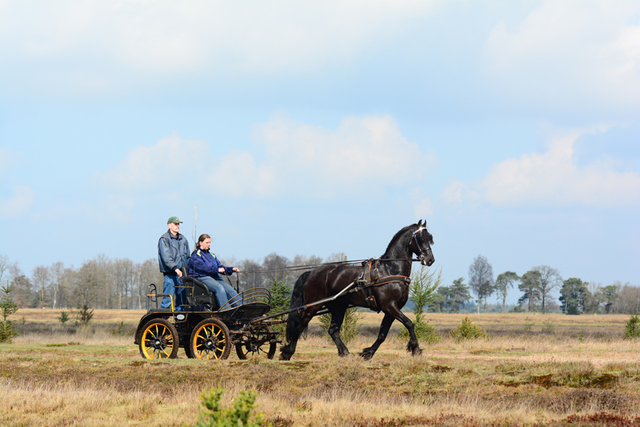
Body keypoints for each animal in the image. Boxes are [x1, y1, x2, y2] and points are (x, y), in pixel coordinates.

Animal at [280, 221, 436, 362]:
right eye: (421, 238)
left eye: (430, 238)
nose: (430, 260)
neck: (390, 270)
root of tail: (311, 272)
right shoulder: (390, 307)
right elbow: (409, 323)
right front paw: (415, 349)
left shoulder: (391, 310)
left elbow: (383, 334)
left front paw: (368, 353)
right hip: (312, 307)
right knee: (299, 327)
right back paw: (287, 352)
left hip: (338, 307)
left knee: (333, 331)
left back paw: (345, 353)